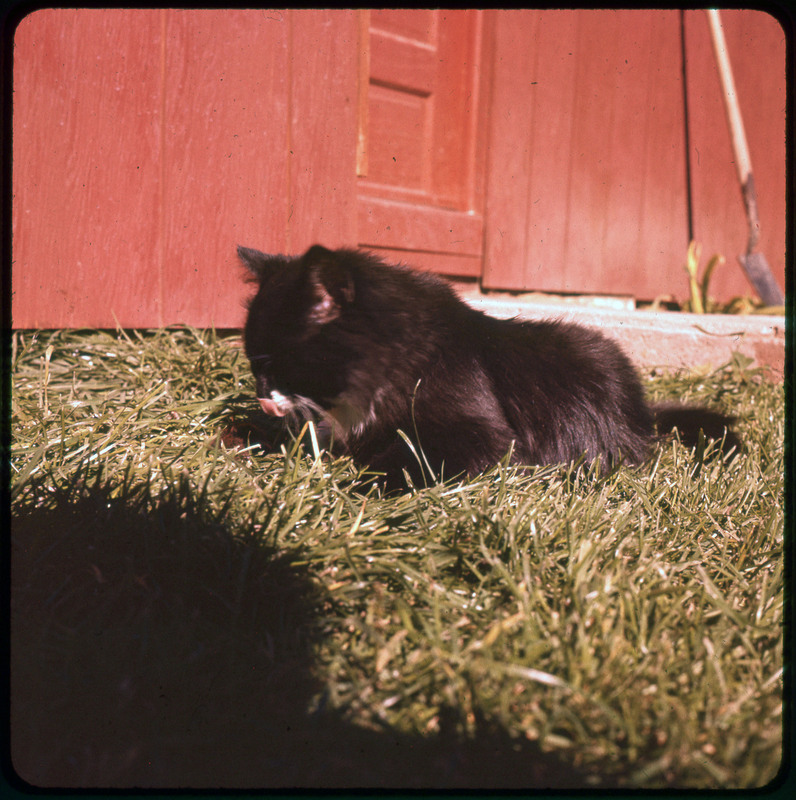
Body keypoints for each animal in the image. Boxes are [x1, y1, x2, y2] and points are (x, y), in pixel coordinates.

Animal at [239, 245, 736, 488]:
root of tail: (644, 411)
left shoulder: (481, 435)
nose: (260, 395)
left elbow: (402, 461)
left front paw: (354, 491)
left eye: (278, 364)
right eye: (253, 364)